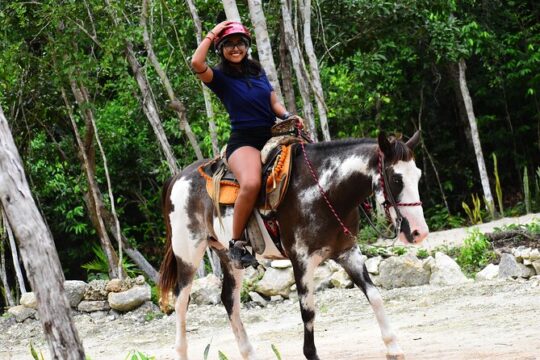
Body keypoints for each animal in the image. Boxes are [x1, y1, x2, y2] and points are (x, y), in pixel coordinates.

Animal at [158, 132, 428, 360]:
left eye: (418, 175)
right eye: (396, 179)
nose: (419, 232)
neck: (324, 190)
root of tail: (178, 177)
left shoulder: (348, 253)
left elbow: (375, 295)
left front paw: (393, 348)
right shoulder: (302, 260)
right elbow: (308, 310)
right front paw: (311, 354)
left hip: (229, 256)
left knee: (229, 299)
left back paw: (249, 354)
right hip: (188, 254)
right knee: (181, 302)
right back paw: (181, 352)